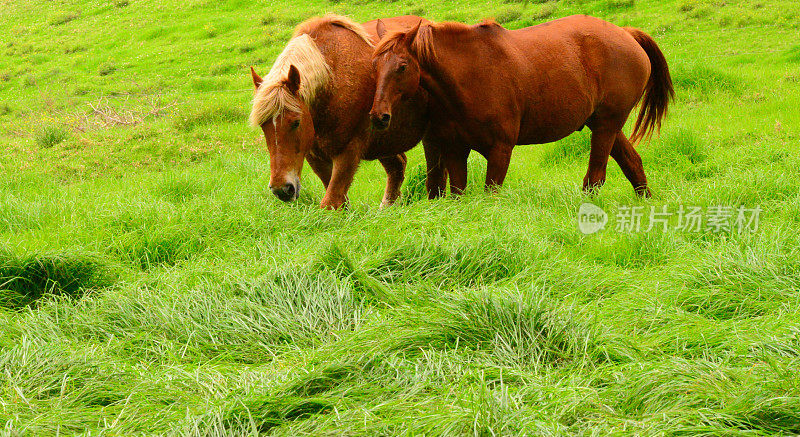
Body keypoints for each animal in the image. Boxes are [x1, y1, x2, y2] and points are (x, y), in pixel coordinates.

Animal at [252, 14, 432, 209]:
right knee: (397, 166)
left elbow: (331, 202)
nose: (282, 189)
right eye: (263, 126)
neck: (334, 76)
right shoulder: (316, 158)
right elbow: (339, 201)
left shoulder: (348, 152)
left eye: (296, 122)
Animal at [372, 14, 672, 196]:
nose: (378, 117)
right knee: (633, 165)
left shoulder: (500, 150)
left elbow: (490, 194)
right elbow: (459, 193)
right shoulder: (455, 152)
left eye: (402, 66)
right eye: (375, 64)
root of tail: (627, 34)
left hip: (606, 126)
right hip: (604, 125)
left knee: (595, 177)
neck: (470, 76)